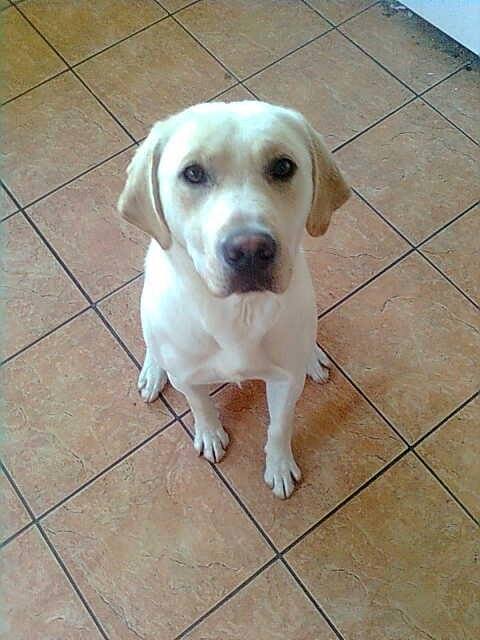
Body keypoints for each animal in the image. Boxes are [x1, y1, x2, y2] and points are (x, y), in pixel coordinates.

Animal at [118, 101, 350, 500]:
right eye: (193, 173)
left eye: (283, 167)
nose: (250, 250)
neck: (238, 313)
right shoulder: (188, 377)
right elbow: (200, 405)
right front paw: (210, 434)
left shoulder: (286, 381)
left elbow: (279, 425)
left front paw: (279, 466)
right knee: (154, 346)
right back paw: (152, 371)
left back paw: (313, 357)